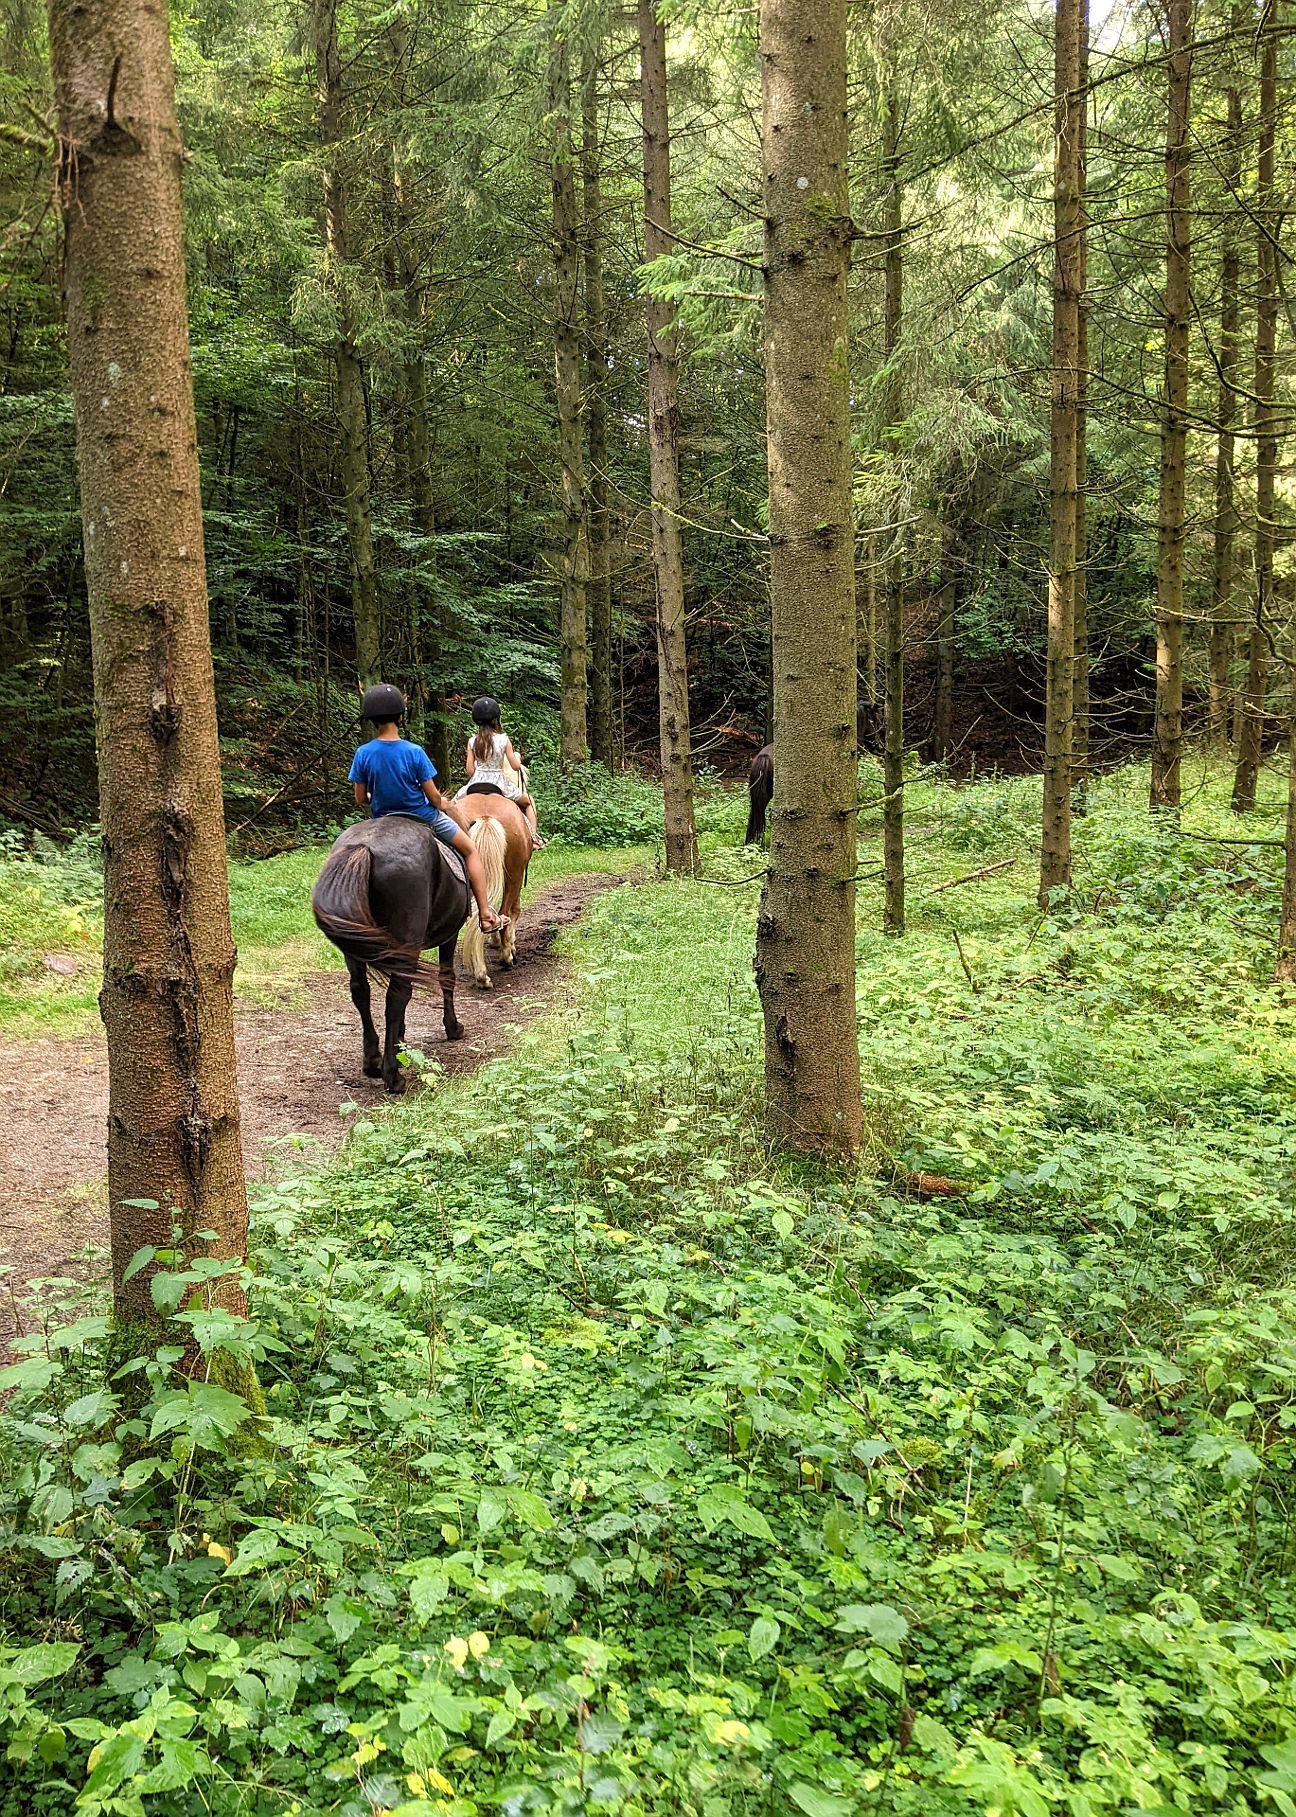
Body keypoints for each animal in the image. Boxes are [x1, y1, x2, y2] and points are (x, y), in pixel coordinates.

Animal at [309, 821, 468, 1090]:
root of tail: (364, 846)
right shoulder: (450, 935)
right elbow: (447, 978)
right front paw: (452, 1027)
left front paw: (400, 1040)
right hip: (406, 945)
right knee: (397, 997)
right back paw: (392, 1076)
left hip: (356, 948)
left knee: (360, 992)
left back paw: (373, 1060)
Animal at [459, 795, 530, 995]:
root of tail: (486, 817)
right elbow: (514, 910)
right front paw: (508, 944)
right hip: (513, 876)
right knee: (505, 911)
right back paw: (505, 957)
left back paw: (481, 974)